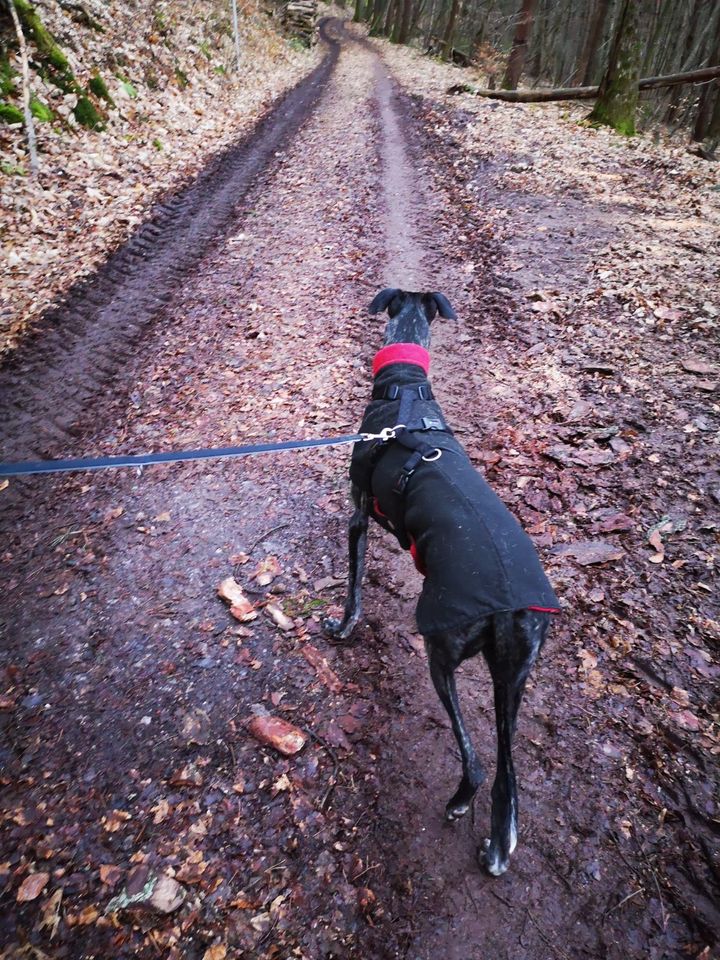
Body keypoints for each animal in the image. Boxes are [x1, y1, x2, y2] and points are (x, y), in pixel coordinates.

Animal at [324, 286, 560, 876]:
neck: (405, 388)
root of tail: (508, 606)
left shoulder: (357, 516)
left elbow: (354, 586)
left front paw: (342, 627)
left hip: (441, 652)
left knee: (476, 762)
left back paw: (459, 802)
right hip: (514, 677)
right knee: (507, 777)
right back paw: (498, 844)